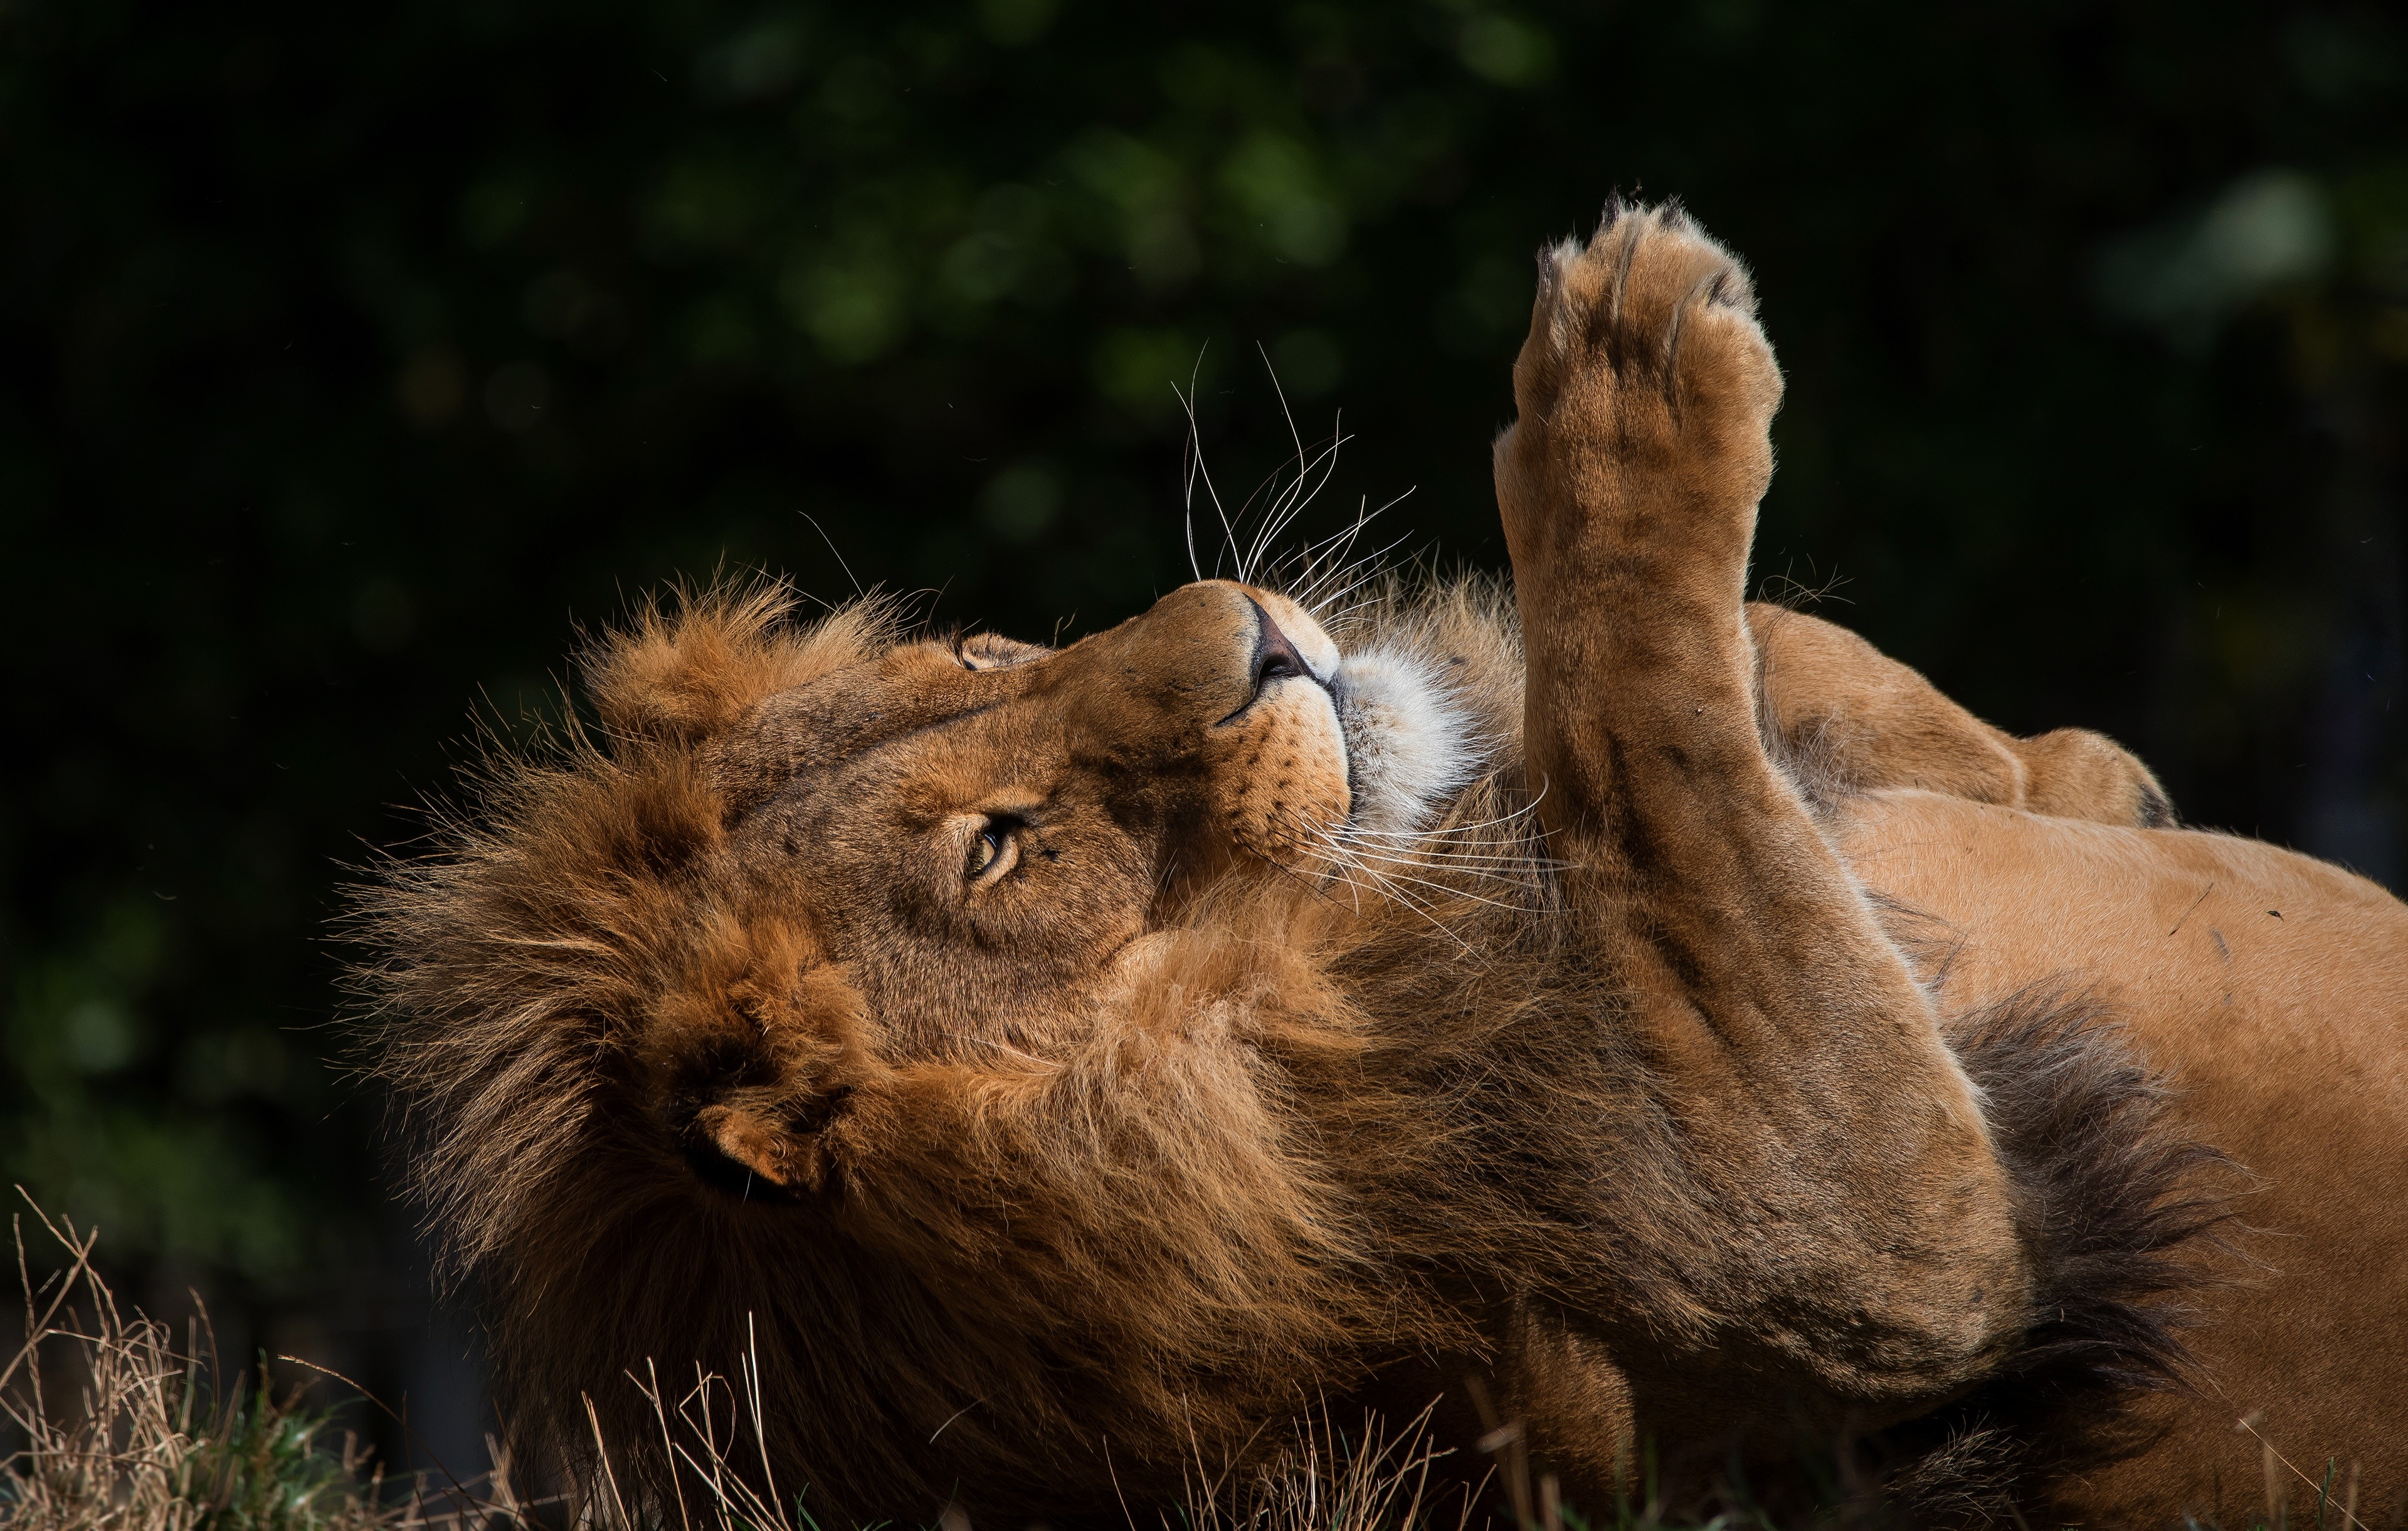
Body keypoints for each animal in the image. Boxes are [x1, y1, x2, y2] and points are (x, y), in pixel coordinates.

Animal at [357, 204, 2408, 1527]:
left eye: (980, 655)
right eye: (1004, 850)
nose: (1258, 633)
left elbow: (1751, 688)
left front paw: (2076, 773)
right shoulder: (1881, 1273)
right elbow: (1663, 749)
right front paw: (1630, 357)